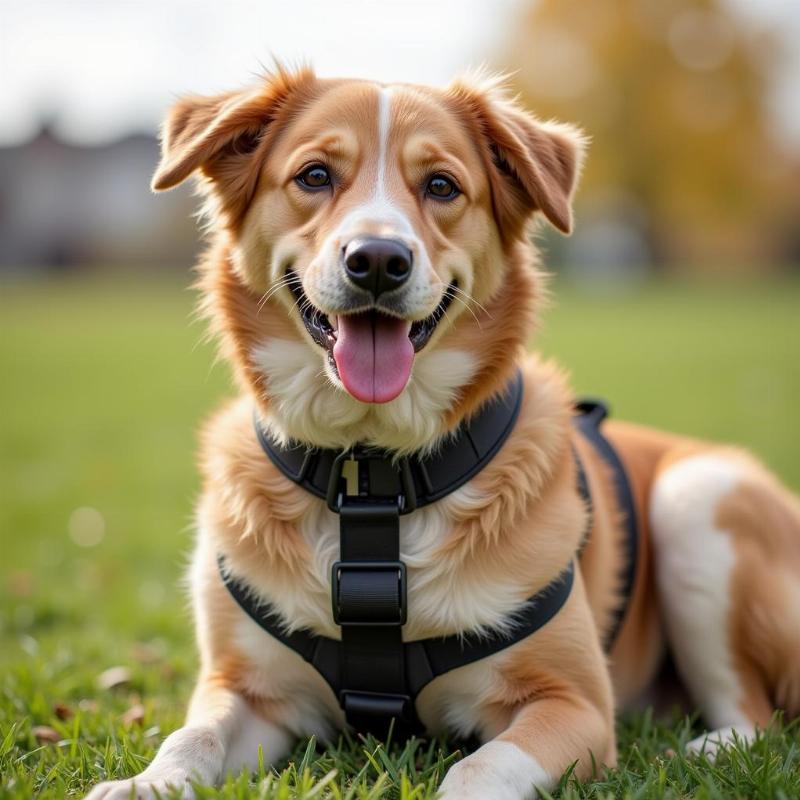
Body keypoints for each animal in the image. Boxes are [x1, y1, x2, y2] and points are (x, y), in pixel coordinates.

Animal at [86, 69, 800, 800]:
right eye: (314, 175)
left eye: (441, 186)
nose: (378, 259)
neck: (373, 480)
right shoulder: (248, 689)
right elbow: (191, 736)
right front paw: (141, 784)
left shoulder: (574, 704)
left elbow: (478, 767)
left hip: (699, 498)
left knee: (755, 715)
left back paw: (702, 751)